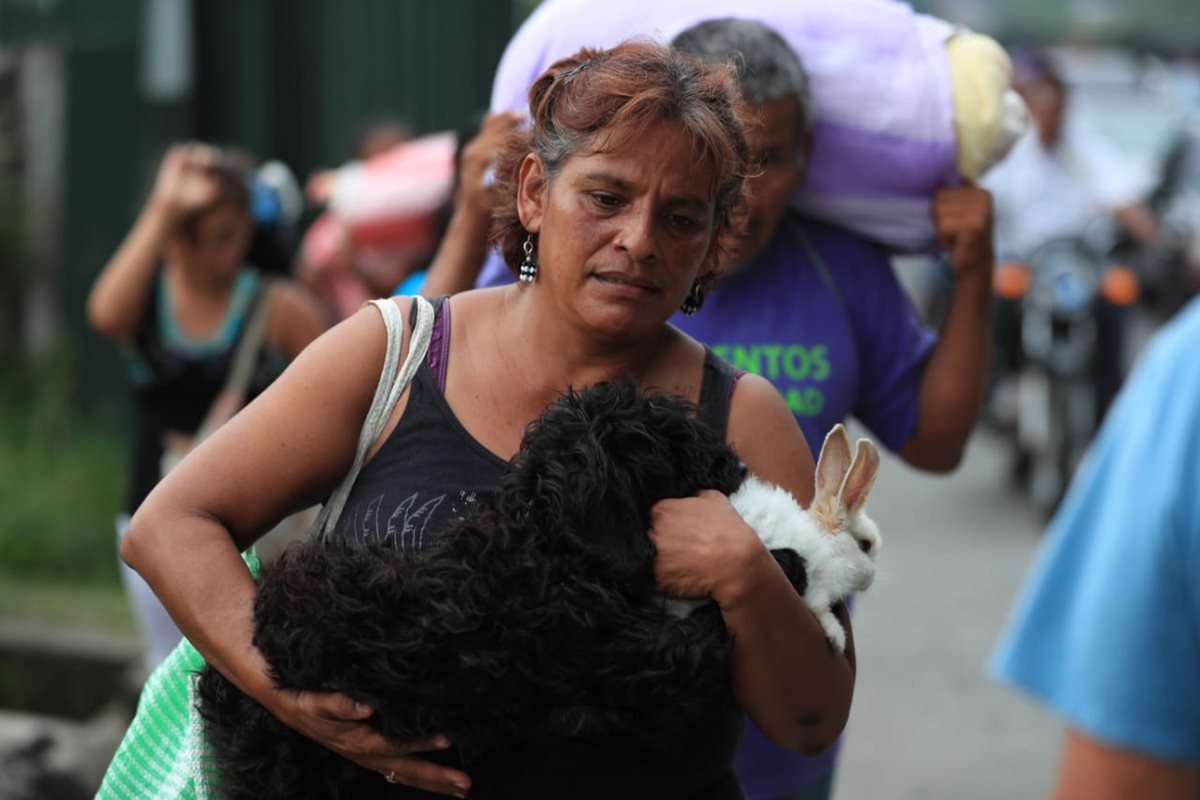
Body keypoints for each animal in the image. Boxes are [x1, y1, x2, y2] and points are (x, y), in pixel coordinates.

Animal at [196, 381, 811, 800]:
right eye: (673, 446)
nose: (737, 463)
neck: (550, 541)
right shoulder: (638, 667)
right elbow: (706, 627)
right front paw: (788, 564)